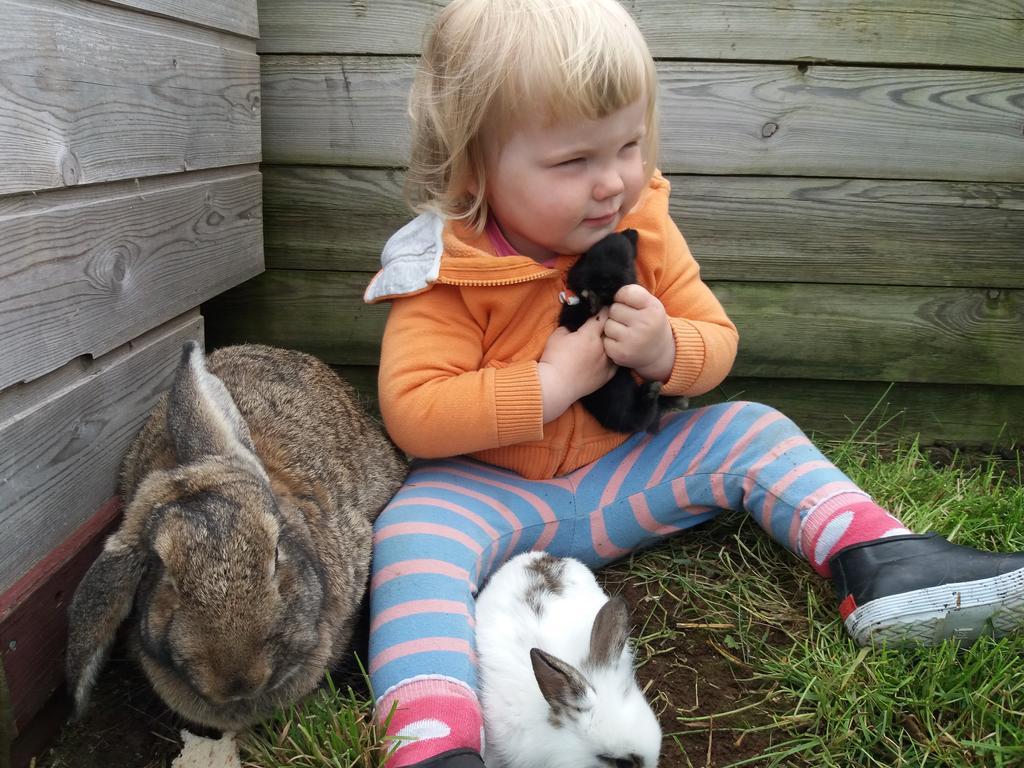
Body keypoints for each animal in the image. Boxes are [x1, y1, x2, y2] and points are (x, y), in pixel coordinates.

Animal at [561, 228, 679, 434]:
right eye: (588, 257)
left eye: (627, 264)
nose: (605, 280)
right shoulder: (569, 319)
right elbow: (579, 312)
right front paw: (591, 300)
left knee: (641, 418)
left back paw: (652, 391)